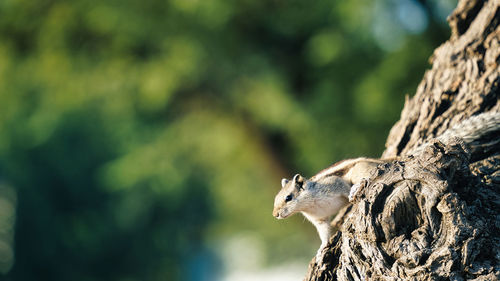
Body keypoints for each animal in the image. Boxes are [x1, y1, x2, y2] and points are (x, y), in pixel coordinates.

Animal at [274, 110, 500, 260]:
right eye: (276, 200)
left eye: (288, 197)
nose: (275, 215)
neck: (309, 203)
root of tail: (378, 161)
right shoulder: (320, 220)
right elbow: (324, 233)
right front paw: (321, 249)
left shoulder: (334, 185)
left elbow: (344, 188)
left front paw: (352, 192)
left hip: (361, 168)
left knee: (361, 176)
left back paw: (358, 186)